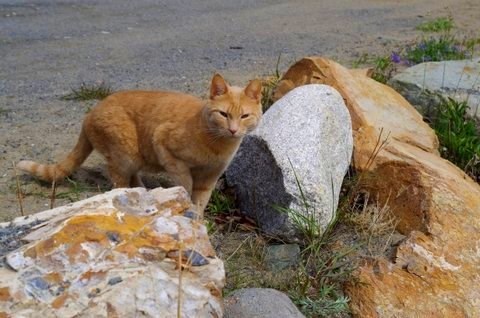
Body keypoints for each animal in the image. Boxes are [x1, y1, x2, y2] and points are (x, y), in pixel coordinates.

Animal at [15, 74, 262, 216]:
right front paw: (185, 204)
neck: (217, 145)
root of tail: (90, 113)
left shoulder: (210, 178)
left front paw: (198, 222)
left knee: (133, 178)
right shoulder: (164, 145)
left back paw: (144, 192)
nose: (233, 130)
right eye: (223, 114)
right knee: (119, 181)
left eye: (244, 116)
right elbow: (185, 184)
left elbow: (200, 201)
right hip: (124, 154)